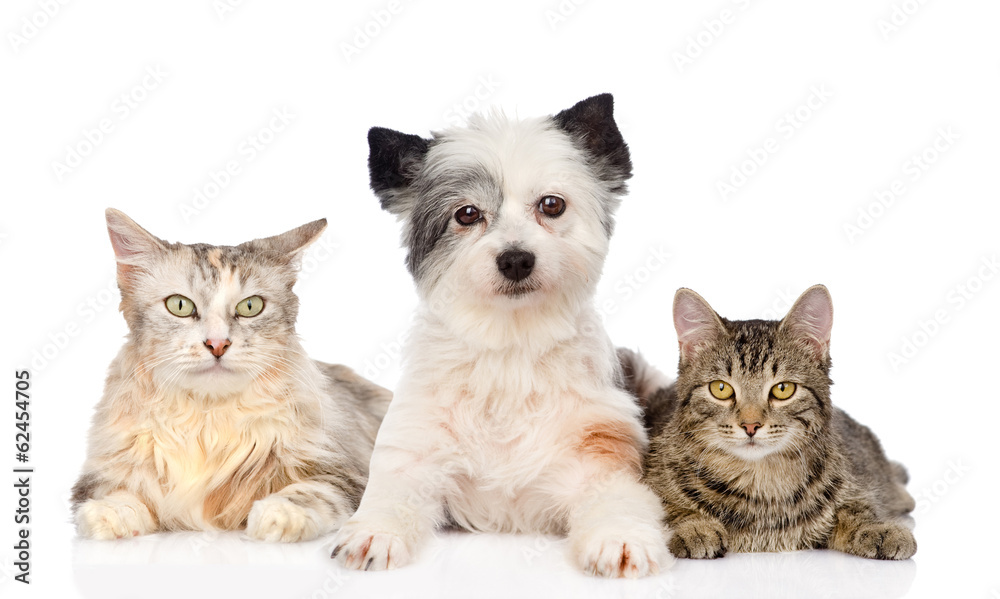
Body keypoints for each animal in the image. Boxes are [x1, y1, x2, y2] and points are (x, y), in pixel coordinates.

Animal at [70, 211, 388, 544]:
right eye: (179, 305)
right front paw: (109, 513)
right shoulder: (99, 475)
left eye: (250, 307)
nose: (217, 344)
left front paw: (279, 515)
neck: (208, 422)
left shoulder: (346, 471)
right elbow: (120, 494)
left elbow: (311, 492)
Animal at [334, 96, 672, 580]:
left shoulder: (602, 455)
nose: (516, 260)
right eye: (467, 214)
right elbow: (391, 492)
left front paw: (620, 537)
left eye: (551, 205)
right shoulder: (415, 450)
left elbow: (618, 499)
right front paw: (375, 530)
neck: (510, 350)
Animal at [624, 288, 916, 564]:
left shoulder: (853, 487)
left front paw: (878, 529)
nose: (750, 425)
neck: (760, 484)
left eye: (783, 389)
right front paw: (693, 526)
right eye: (720, 389)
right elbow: (663, 507)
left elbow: (856, 509)